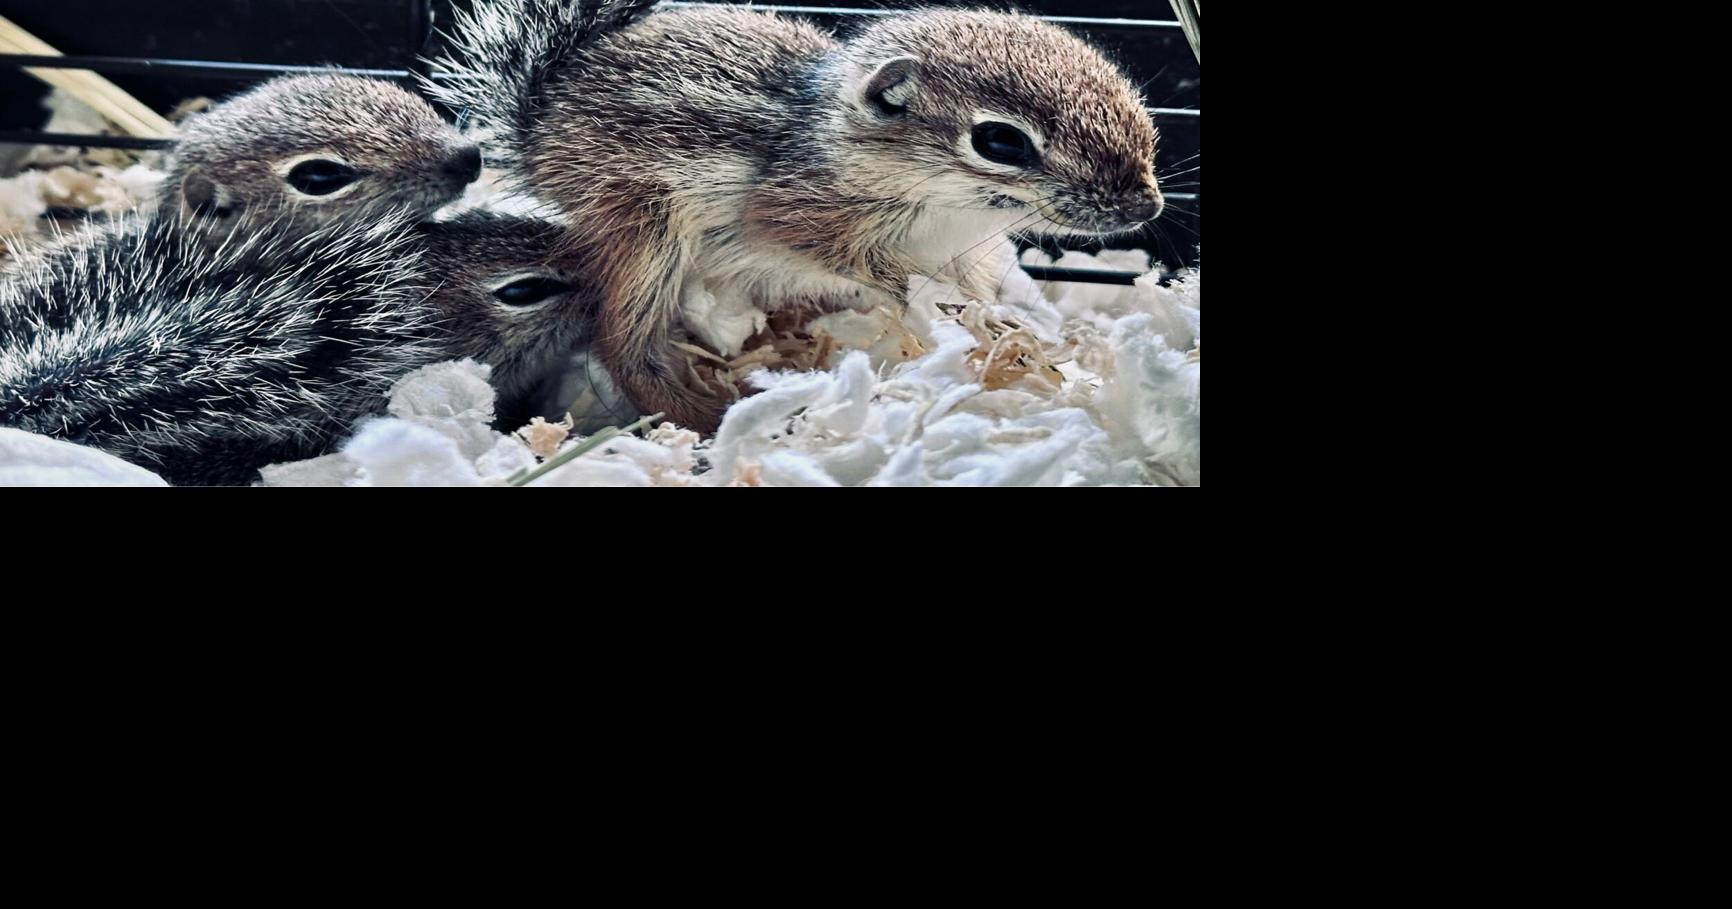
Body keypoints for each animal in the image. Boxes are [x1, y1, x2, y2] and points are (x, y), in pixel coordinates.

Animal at [430, 1, 1165, 431]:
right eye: (1001, 142)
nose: (1148, 204)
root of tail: (538, 121)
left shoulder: (969, 251)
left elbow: (977, 291)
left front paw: (1003, 327)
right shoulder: (797, 214)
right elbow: (861, 264)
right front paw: (925, 304)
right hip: (646, 235)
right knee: (625, 349)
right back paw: (715, 416)